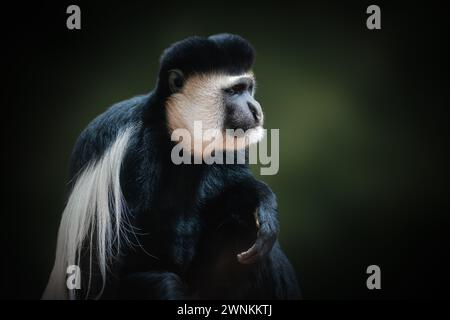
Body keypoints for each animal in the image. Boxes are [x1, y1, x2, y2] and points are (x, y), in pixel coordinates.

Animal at [44, 33, 300, 300]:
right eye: (234, 91)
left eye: (248, 89)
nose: (256, 109)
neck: (175, 136)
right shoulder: (134, 155)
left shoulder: (224, 150)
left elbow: (231, 191)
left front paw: (264, 204)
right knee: (161, 283)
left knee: (244, 232)